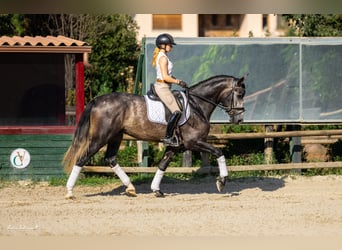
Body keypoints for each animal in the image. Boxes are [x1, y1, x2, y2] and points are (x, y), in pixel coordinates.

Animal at [63, 73, 246, 197]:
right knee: (82, 158)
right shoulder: (194, 142)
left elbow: (162, 164)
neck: (197, 105)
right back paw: (70, 191)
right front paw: (222, 181)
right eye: (239, 94)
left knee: (110, 158)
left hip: (116, 136)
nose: (239, 119)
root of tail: (97, 100)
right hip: (101, 137)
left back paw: (130, 188)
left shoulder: (175, 146)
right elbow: (219, 152)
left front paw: (156, 190)